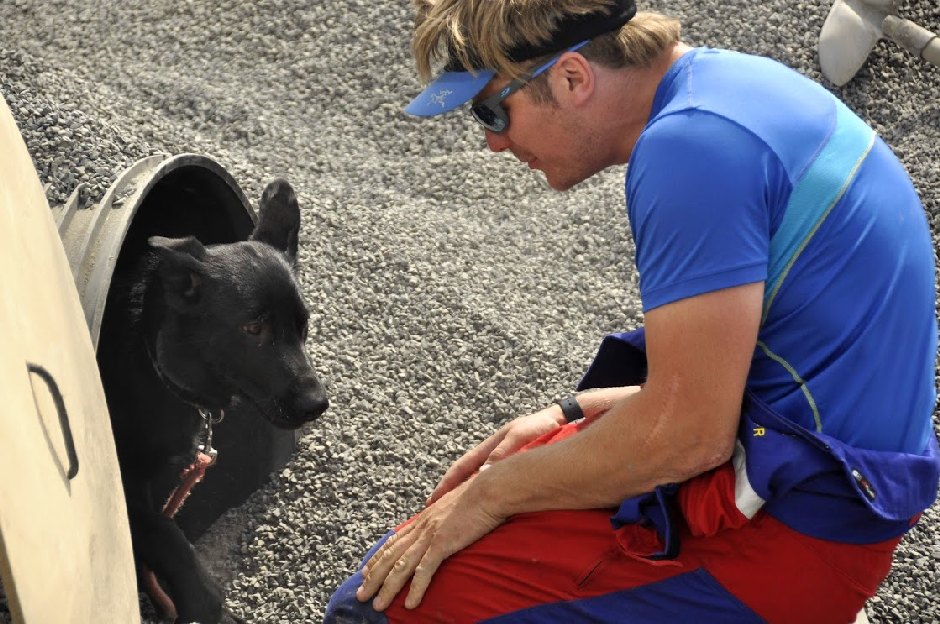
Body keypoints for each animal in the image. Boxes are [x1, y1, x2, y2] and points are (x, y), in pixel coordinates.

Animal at [96, 179, 329, 623]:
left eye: (303, 323)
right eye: (253, 328)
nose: (317, 404)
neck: (154, 362)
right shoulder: (125, 483)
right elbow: (166, 534)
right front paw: (200, 600)